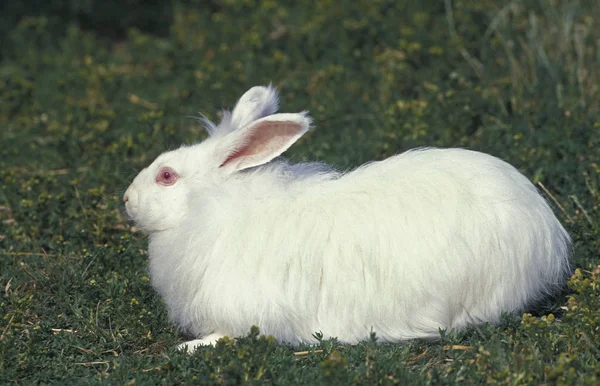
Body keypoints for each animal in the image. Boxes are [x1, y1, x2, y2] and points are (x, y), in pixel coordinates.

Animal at [123, 84, 572, 352]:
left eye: (166, 175)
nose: (127, 199)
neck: (211, 207)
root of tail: (547, 234)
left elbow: (225, 334)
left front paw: (187, 348)